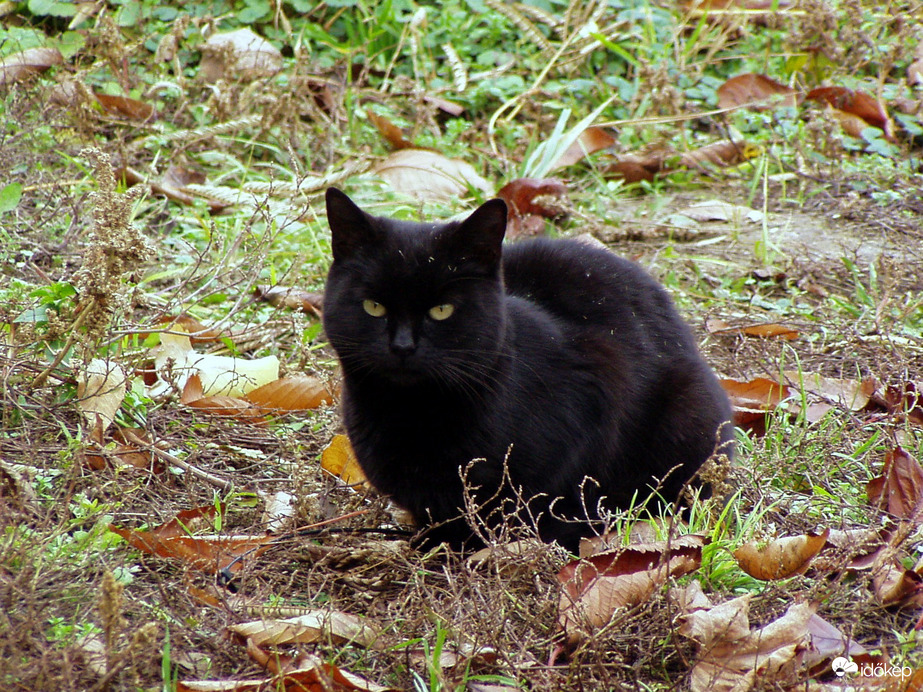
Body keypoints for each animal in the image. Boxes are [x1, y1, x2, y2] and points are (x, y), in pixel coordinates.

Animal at [322, 188, 732, 552]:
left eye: (442, 310)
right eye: (373, 306)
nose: (403, 346)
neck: (412, 415)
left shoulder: (600, 376)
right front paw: (434, 543)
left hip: (691, 409)